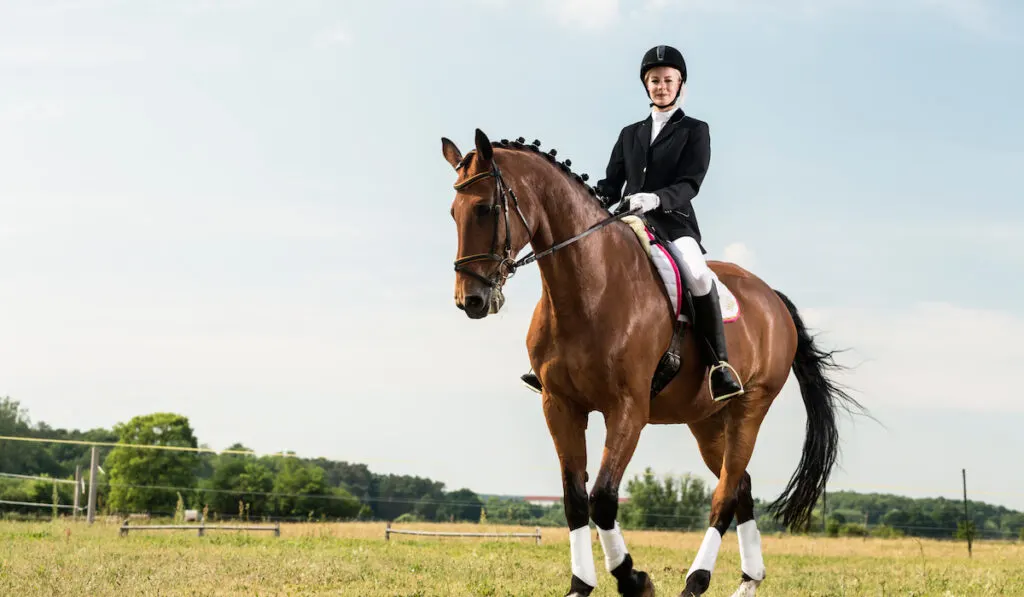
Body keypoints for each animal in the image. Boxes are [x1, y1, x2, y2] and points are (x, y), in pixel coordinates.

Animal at [444, 129, 860, 597]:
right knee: (741, 485)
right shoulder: (560, 405)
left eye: (486, 208)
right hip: (707, 420)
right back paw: (747, 581)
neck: (588, 287)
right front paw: (580, 584)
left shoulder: (628, 410)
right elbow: (575, 499)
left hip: (750, 407)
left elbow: (603, 499)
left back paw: (696, 581)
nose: (470, 300)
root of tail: (772, 298)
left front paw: (633, 579)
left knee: (725, 494)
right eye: (453, 212)